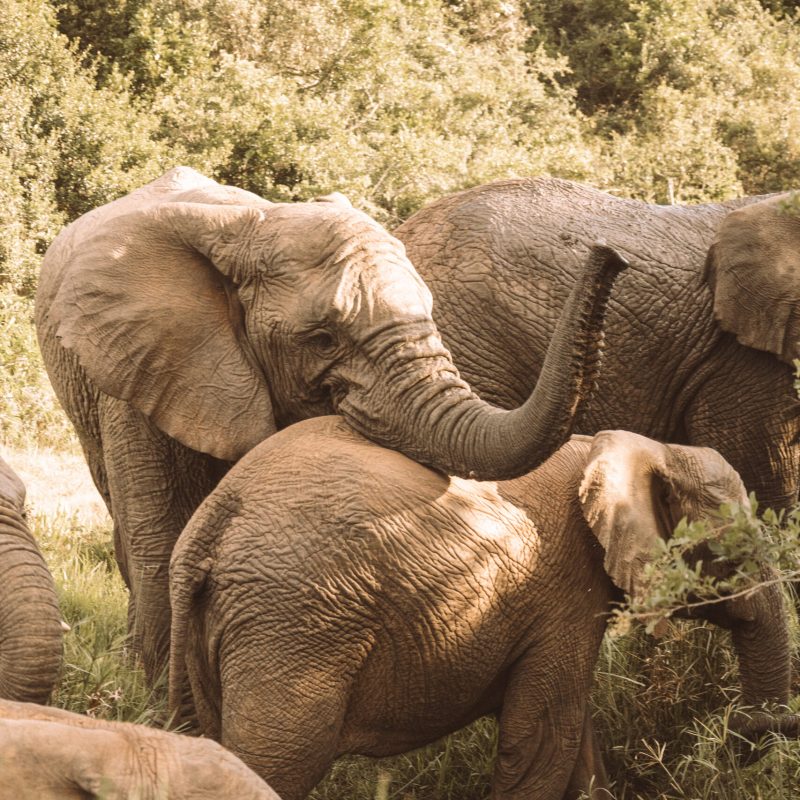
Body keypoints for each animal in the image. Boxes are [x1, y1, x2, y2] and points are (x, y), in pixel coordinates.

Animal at [35, 167, 626, 683]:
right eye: (322, 339)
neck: (249, 227)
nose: (608, 254)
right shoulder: (142, 362)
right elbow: (158, 529)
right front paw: (157, 692)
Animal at [168, 416, 799, 800]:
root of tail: (213, 517)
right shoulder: (565, 591)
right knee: (276, 760)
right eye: (735, 549)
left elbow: (570, 736)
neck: (639, 448)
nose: (743, 730)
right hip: (296, 625)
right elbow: (544, 735)